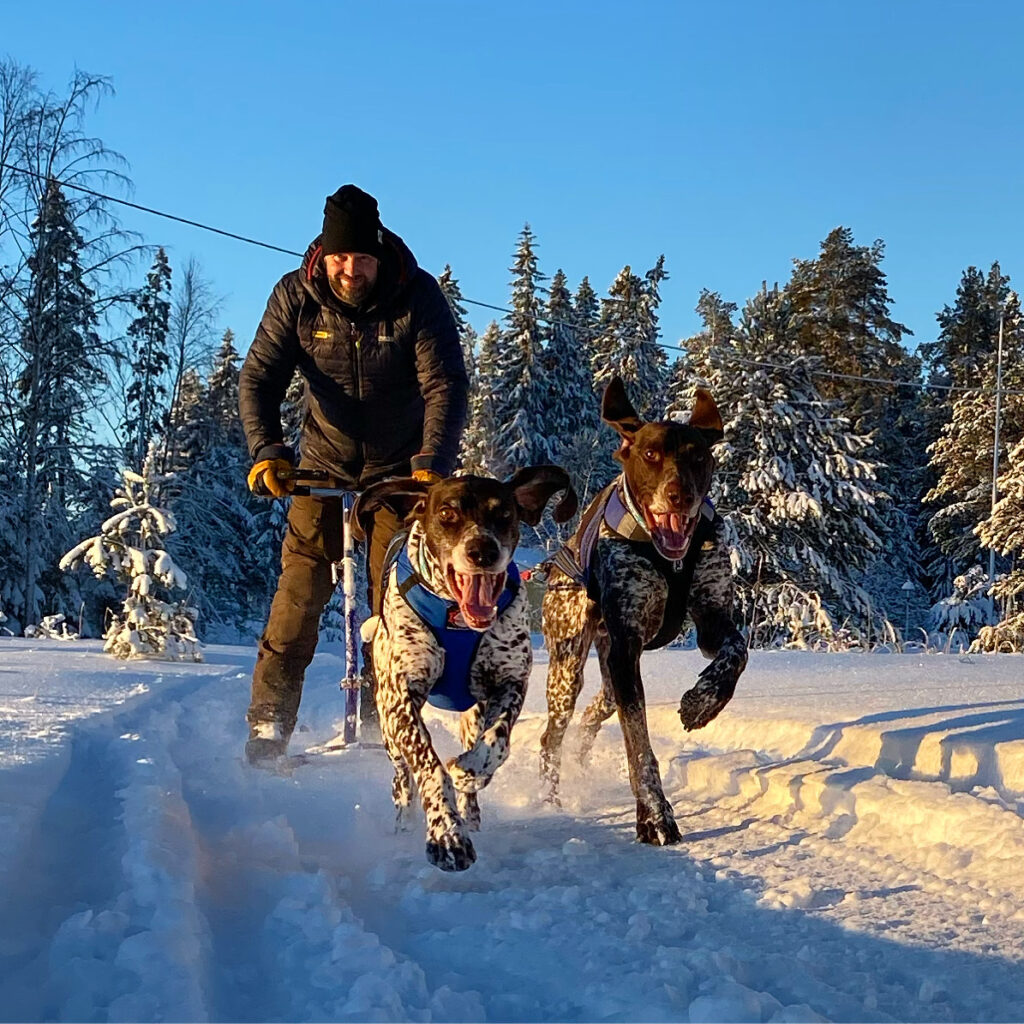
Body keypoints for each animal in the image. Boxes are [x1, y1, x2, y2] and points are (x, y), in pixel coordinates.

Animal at [352, 468, 577, 868]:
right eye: (447, 513)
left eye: (503, 513)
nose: (482, 550)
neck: (457, 619)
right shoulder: (402, 698)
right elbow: (429, 767)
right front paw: (446, 833)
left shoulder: (509, 683)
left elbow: (496, 744)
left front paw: (470, 772)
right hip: (388, 724)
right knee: (402, 775)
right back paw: (406, 817)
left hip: (471, 715)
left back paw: (471, 811)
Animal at [540, 380, 749, 843]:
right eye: (651, 454)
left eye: (697, 456)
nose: (679, 494)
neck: (669, 559)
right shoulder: (626, 647)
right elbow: (638, 745)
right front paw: (654, 815)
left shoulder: (711, 621)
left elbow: (736, 653)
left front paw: (703, 703)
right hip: (568, 667)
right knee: (552, 737)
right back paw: (550, 799)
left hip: (607, 672)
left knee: (595, 712)